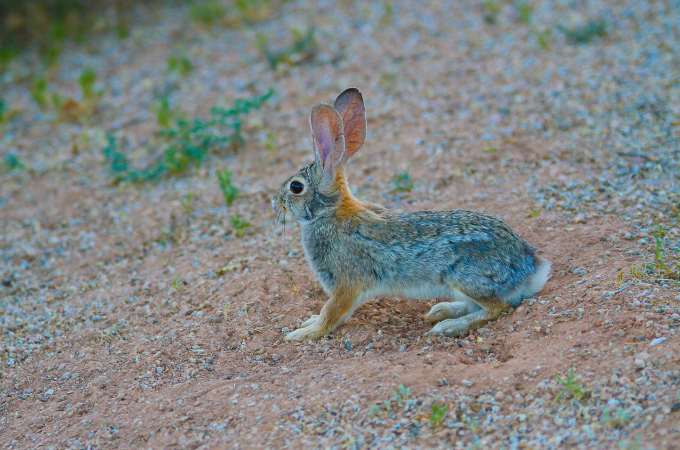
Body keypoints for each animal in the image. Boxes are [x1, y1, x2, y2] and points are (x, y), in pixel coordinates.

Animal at [274, 88, 548, 342]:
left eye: (296, 187)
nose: (277, 201)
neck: (330, 212)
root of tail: (531, 268)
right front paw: (308, 323)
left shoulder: (346, 284)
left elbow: (331, 312)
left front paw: (304, 333)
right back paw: (442, 311)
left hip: (467, 278)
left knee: (498, 307)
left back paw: (449, 326)